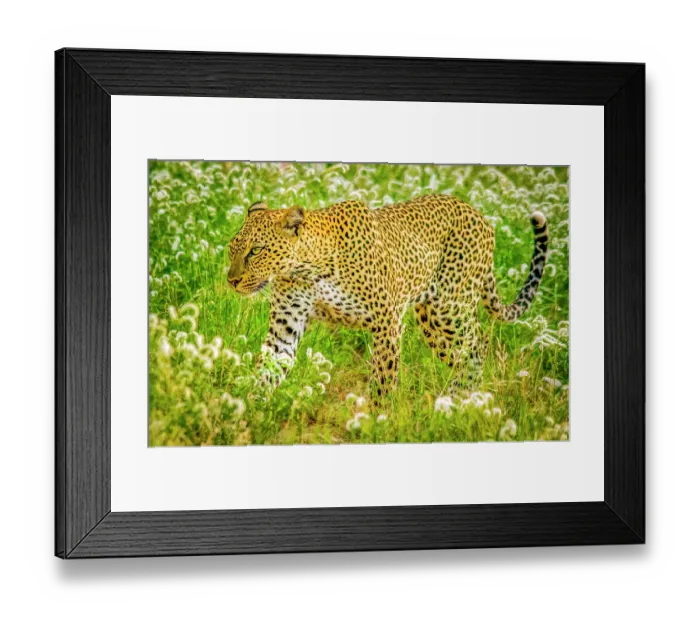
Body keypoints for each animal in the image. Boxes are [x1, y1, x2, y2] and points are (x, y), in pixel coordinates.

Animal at [227, 195, 548, 407]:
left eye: (256, 250)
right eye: (233, 248)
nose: (232, 280)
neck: (307, 268)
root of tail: (480, 216)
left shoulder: (387, 322)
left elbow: (384, 376)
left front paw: (378, 420)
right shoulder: (286, 325)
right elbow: (268, 366)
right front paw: (248, 406)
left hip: (449, 309)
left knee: (476, 346)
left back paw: (460, 403)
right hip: (431, 318)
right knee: (467, 352)